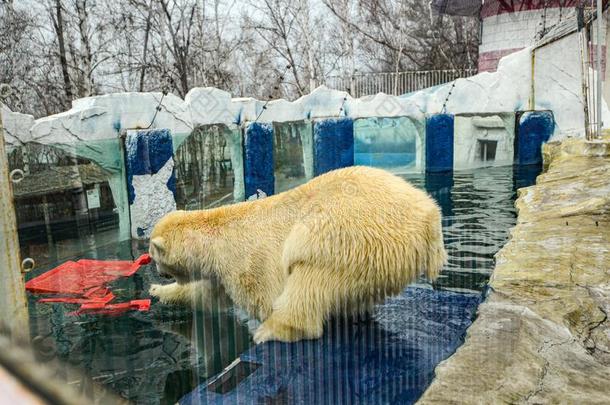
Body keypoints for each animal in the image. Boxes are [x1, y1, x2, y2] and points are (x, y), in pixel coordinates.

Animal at [150, 166, 444, 342]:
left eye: (153, 255)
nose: (157, 273)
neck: (214, 235)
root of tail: (429, 216)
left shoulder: (242, 262)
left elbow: (263, 296)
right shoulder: (219, 271)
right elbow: (205, 295)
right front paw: (157, 292)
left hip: (350, 240)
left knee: (309, 284)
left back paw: (271, 331)